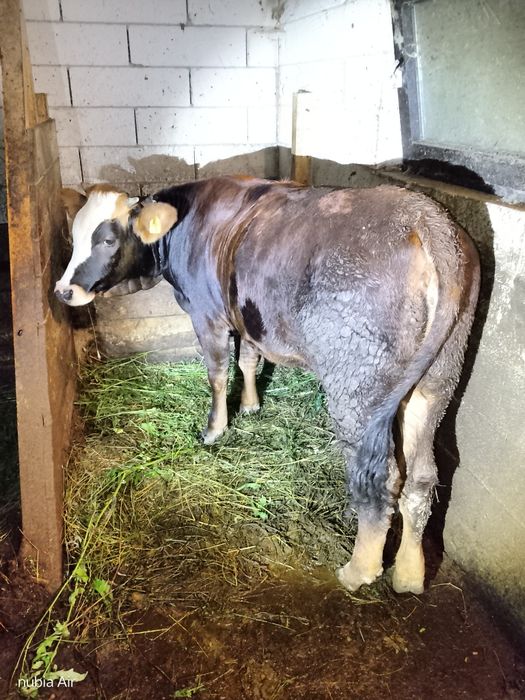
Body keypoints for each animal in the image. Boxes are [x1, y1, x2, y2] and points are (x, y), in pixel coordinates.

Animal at [55, 176, 480, 595]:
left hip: (358, 386)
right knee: (421, 477)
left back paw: (358, 570)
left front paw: (214, 429)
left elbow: (217, 373)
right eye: (75, 236)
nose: (62, 290)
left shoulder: (207, 314)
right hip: (436, 381)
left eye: (108, 239)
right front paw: (250, 404)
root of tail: (424, 218)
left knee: (380, 478)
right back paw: (409, 574)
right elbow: (247, 359)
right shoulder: (245, 315)